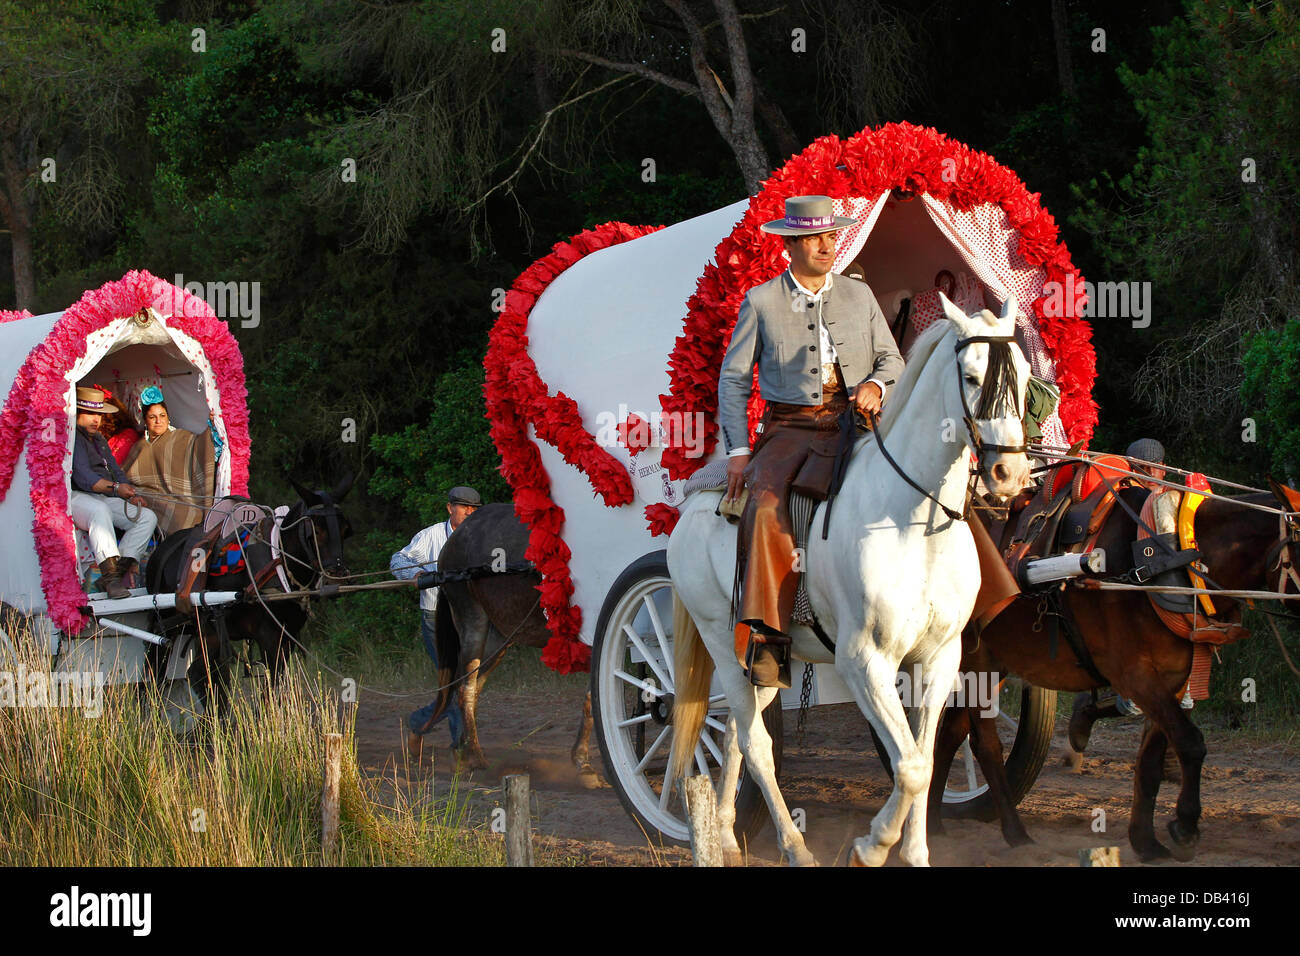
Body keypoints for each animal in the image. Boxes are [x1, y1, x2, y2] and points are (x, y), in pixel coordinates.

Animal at [670, 297, 1024, 868]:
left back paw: (723, 835)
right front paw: (871, 846)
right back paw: (793, 847)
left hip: (759, 662)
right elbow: (910, 766)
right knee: (755, 746)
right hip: (722, 642)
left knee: (735, 738)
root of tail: (693, 504)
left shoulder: (941, 658)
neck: (911, 518)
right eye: (971, 377)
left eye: (1026, 378)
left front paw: (914, 854)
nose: (1010, 476)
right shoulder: (866, 662)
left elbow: (925, 759)